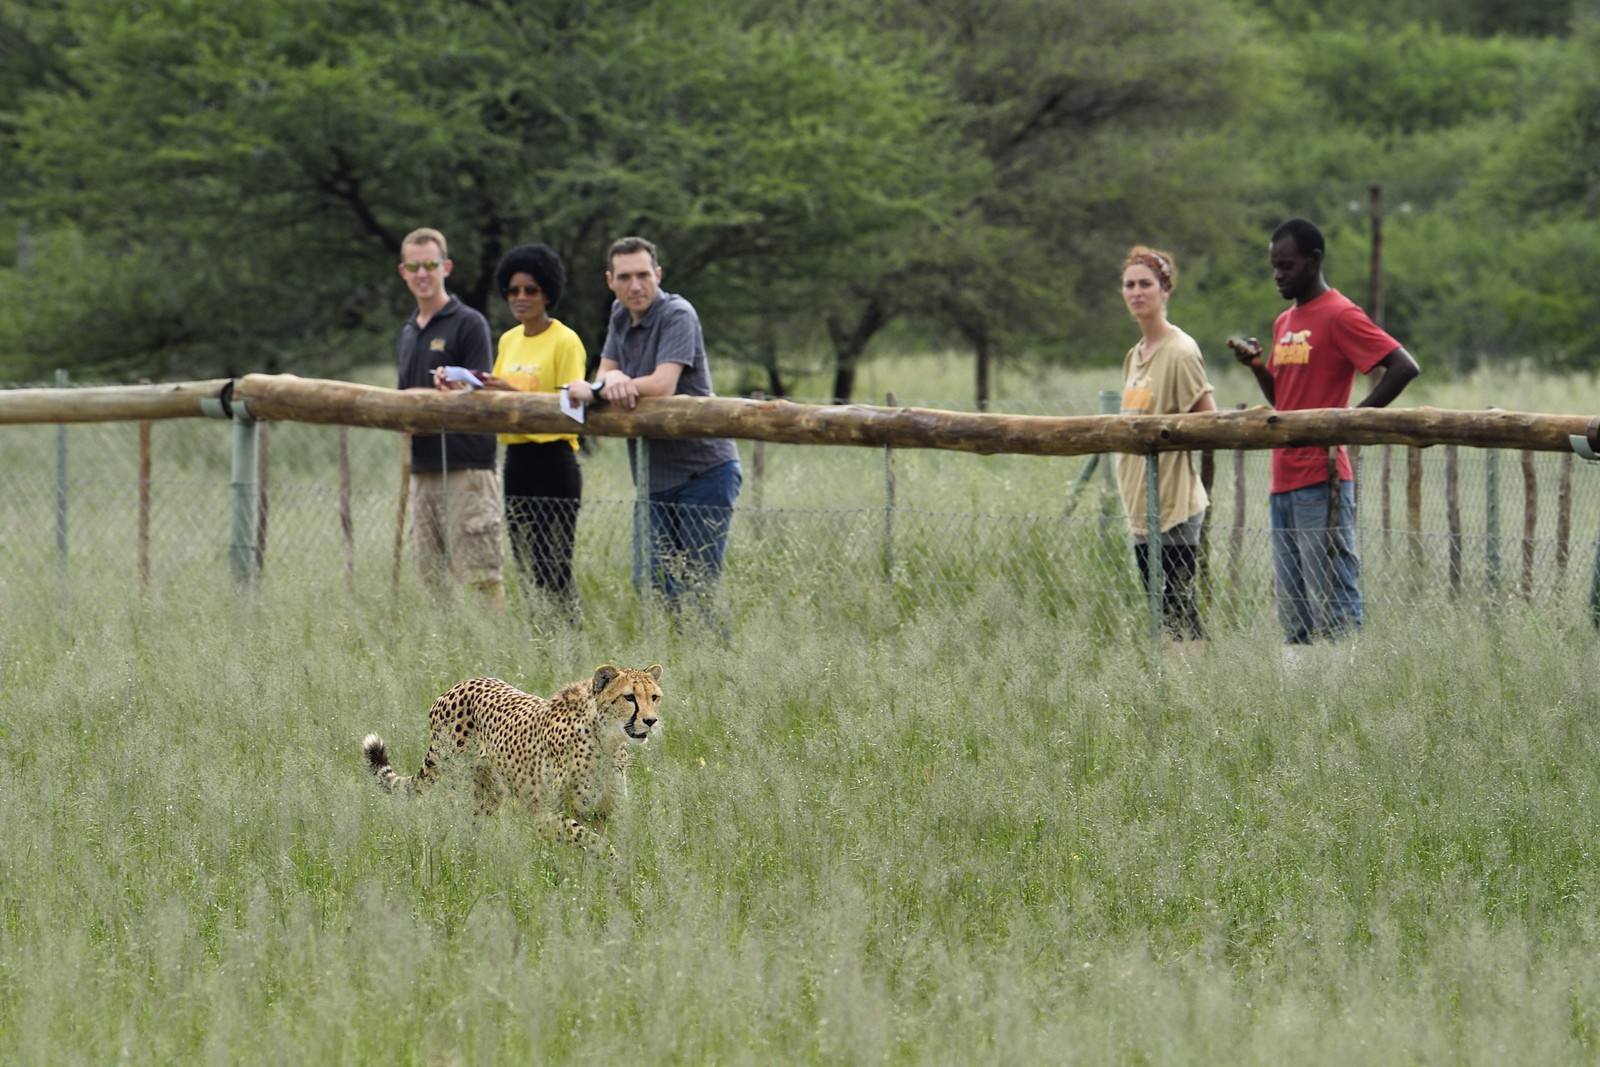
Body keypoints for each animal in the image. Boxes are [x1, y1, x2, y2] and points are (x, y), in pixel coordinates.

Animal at [362, 663, 663, 857]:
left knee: (468, 837)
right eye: (629, 697)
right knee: (437, 826)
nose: (651, 721)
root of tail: (456, 687)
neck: (607, 741)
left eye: (655, 697)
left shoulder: (600, 814)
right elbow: (596, 844)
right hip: (459, 792)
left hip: (486, 797)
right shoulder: (544, 814)